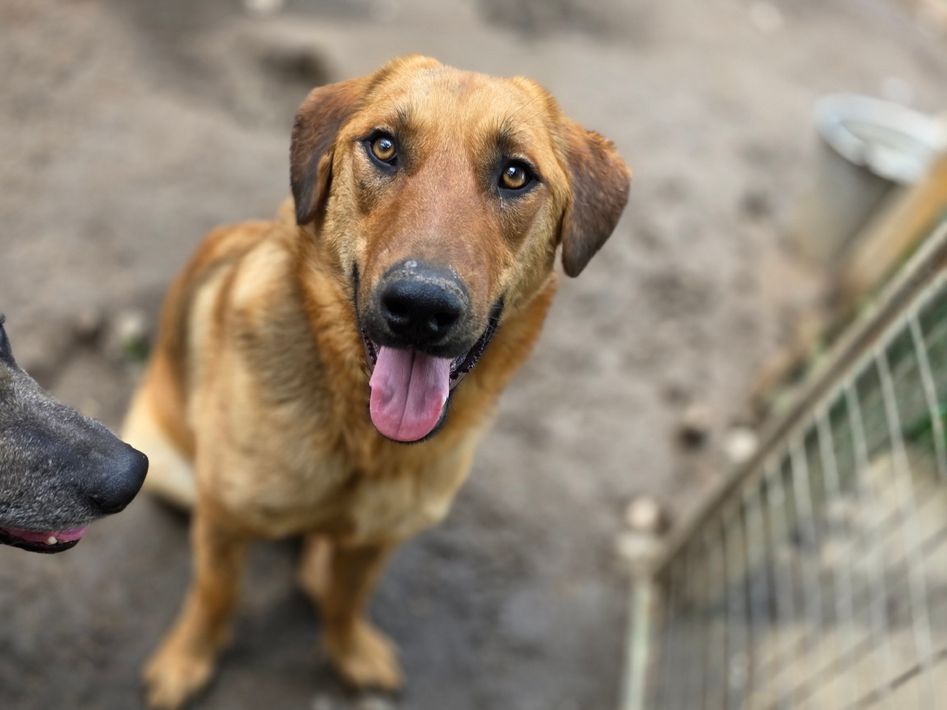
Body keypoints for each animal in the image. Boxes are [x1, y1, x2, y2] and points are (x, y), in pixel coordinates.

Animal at [122, 55, 630, 709]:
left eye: (516, 174)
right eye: (384, 147)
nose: (420, 307)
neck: (361, 439)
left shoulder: (379, 540)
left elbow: (347, 600)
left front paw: (350, 650)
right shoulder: (223, 519)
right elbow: (216, 595)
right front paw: (187, 659)